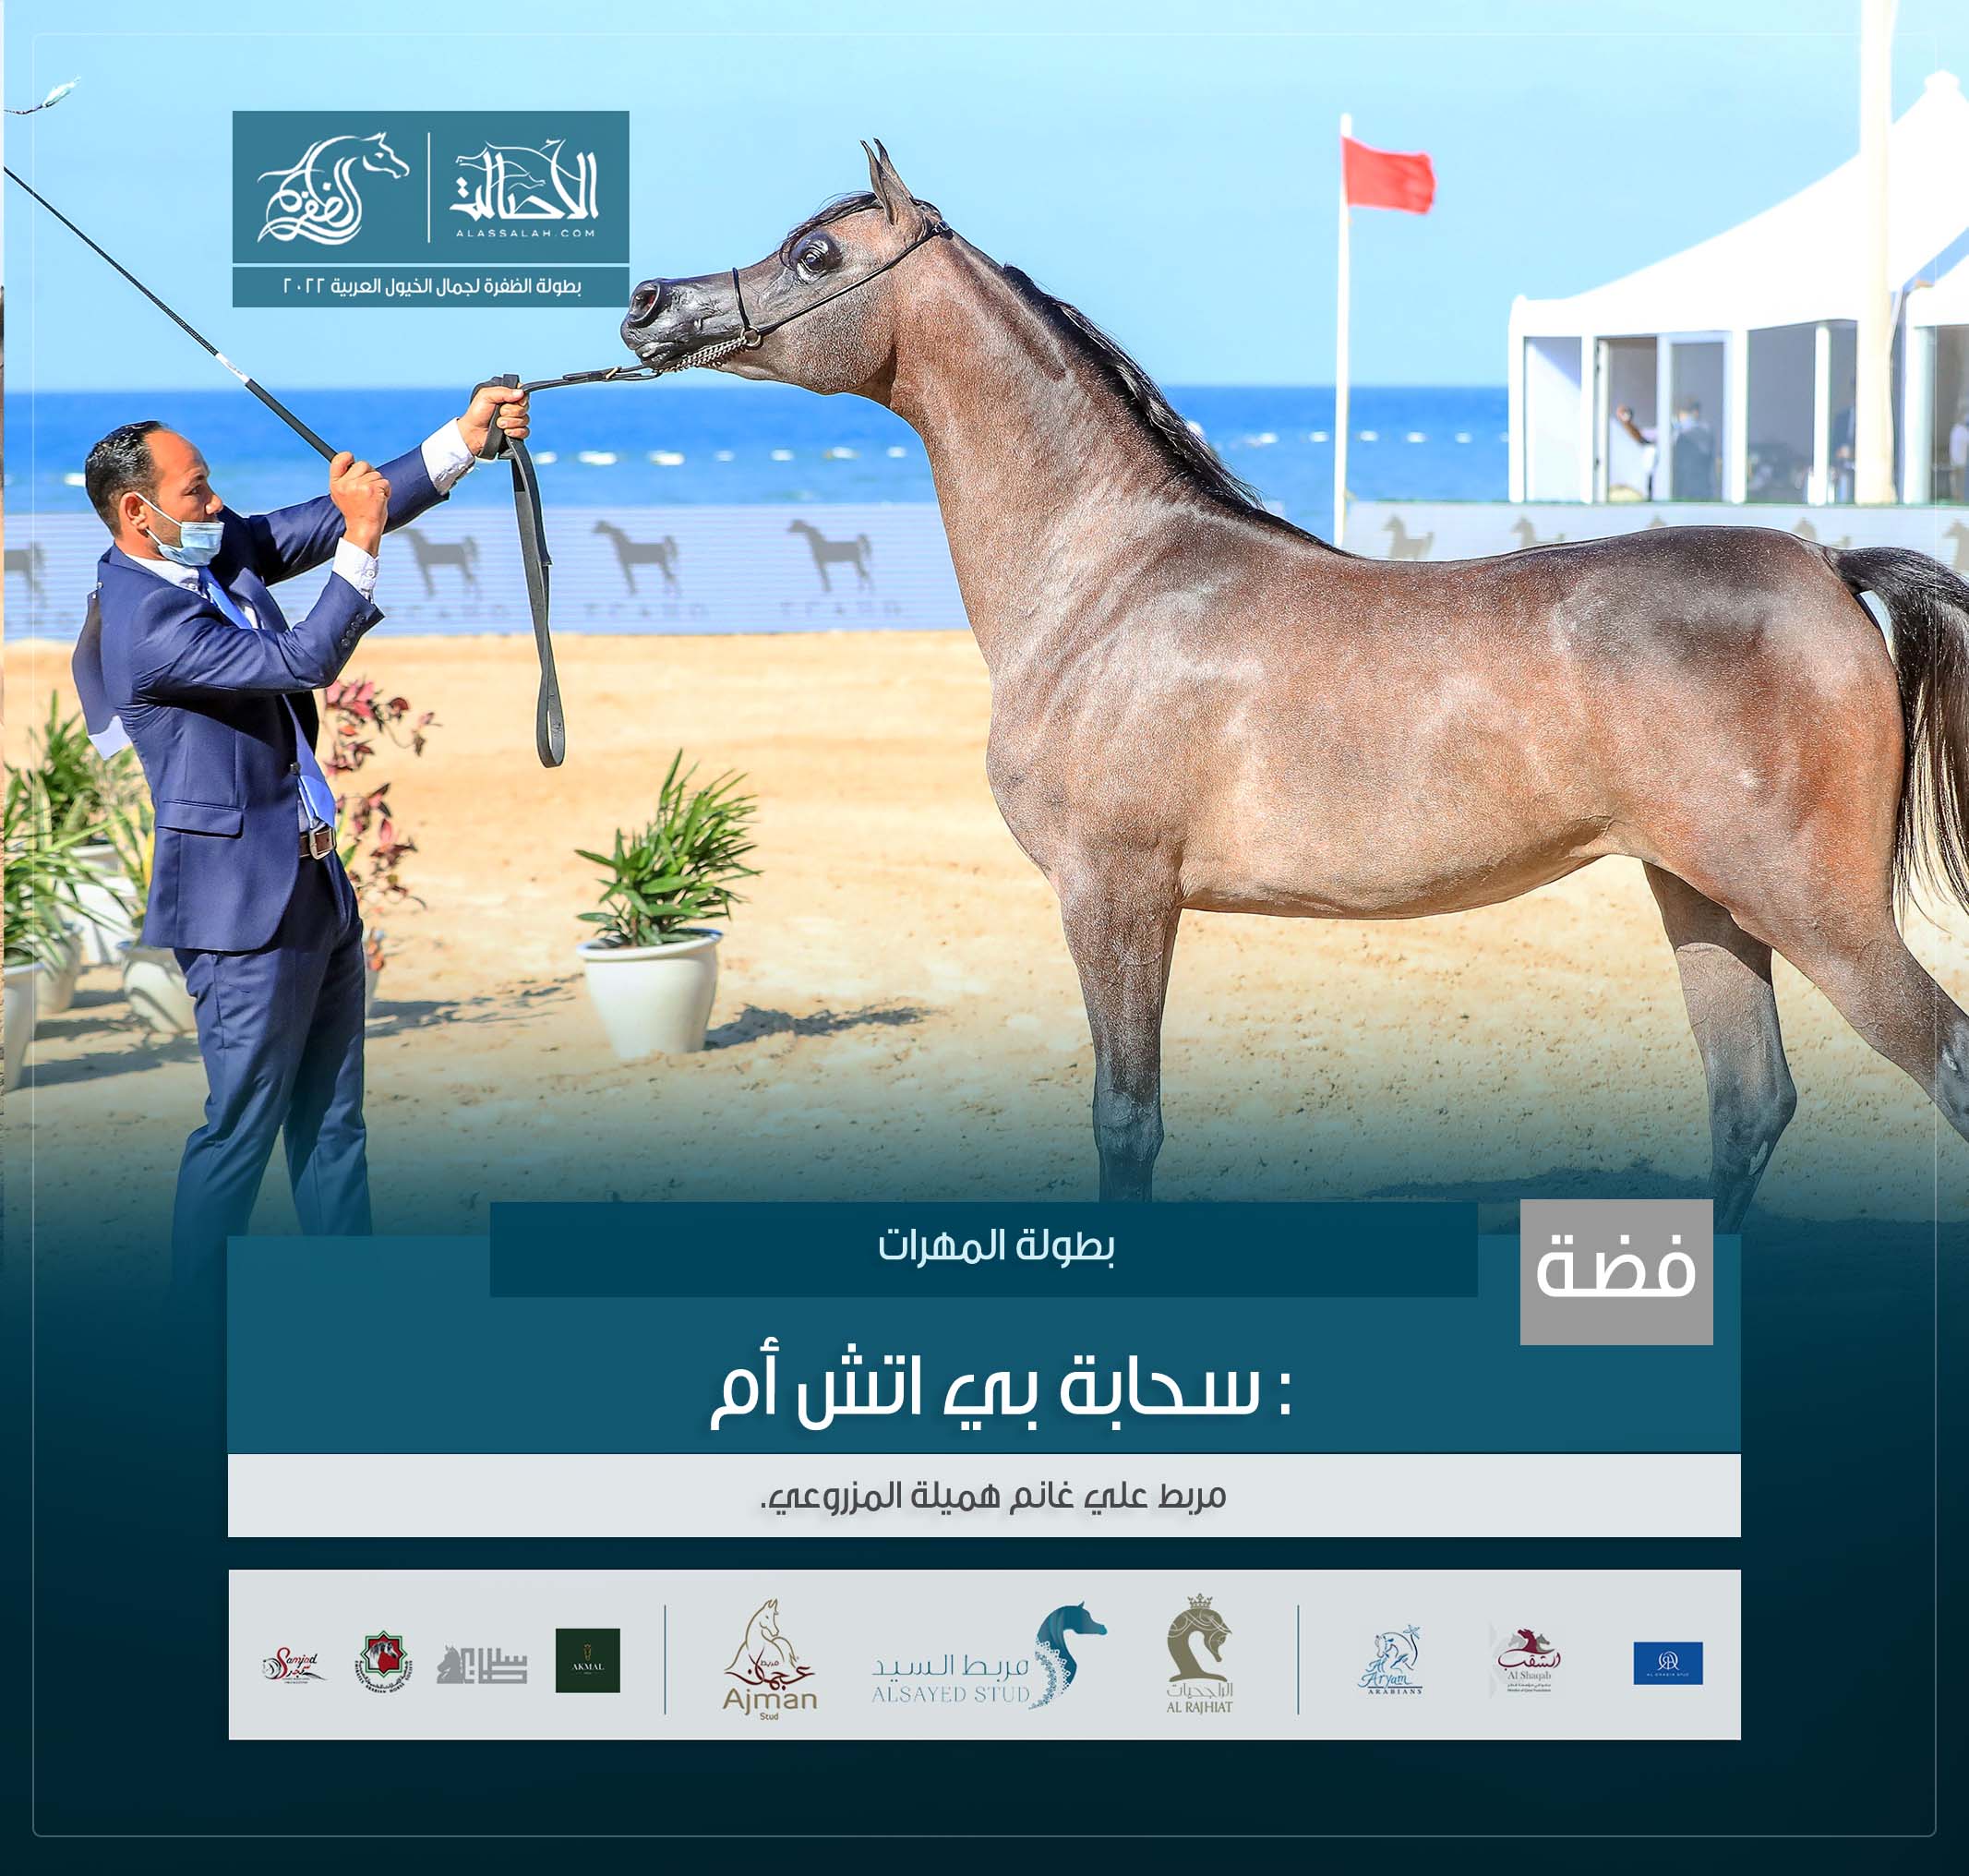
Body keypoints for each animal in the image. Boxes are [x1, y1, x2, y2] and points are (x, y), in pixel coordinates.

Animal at [621, 141, 1969, 1224]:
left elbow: (1127, 1119)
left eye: (814, 253)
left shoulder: (1114, 896)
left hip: (1814, 911)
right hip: (1701, 897)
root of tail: (1826, 563)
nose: (648, 305)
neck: (1107, 577)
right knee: (1749, 1103)